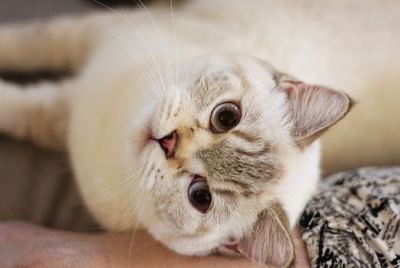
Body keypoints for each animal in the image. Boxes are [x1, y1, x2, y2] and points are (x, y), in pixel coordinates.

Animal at [0, 0, 398, 266]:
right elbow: (29, 41)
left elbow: (16, 104)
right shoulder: (91, 35)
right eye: (226, 116)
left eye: (200, 196)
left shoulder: (62, 114)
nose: (169, 142)